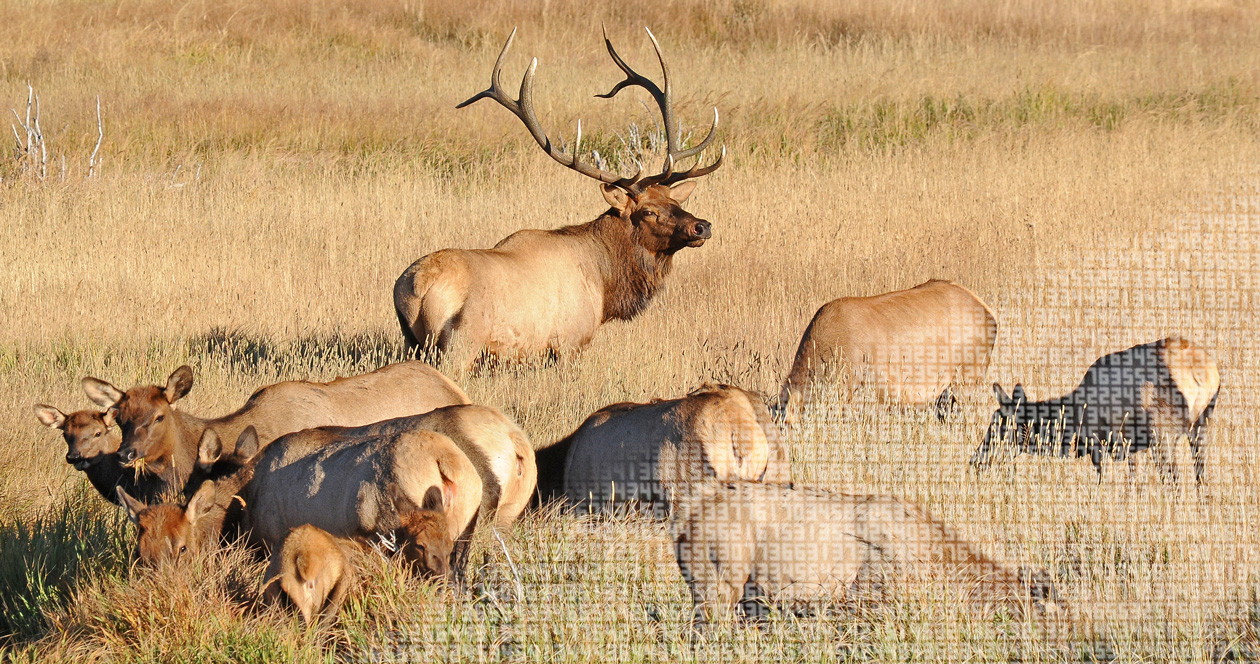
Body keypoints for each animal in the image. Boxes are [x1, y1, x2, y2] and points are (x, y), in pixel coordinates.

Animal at [394, 27, 724, 368]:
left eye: (677, 204)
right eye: (647, 212)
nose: (702, 226)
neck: (604, 284)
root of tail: (416, 286)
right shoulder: (569, 343)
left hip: (413, 343)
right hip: (460, 344)